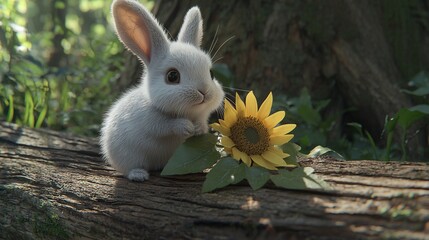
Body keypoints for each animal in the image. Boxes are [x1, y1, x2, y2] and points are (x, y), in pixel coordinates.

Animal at [100, 0, 224, 180]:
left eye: (211, 74)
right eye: (172, 76)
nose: (204, 92)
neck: (188, 113)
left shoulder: (202, 115)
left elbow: (201, 122)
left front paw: (198, 129)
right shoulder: (150, 120)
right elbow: (165, 125)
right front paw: (187, 127)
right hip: (127, 157)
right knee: (129, 168)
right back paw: (139, 175)